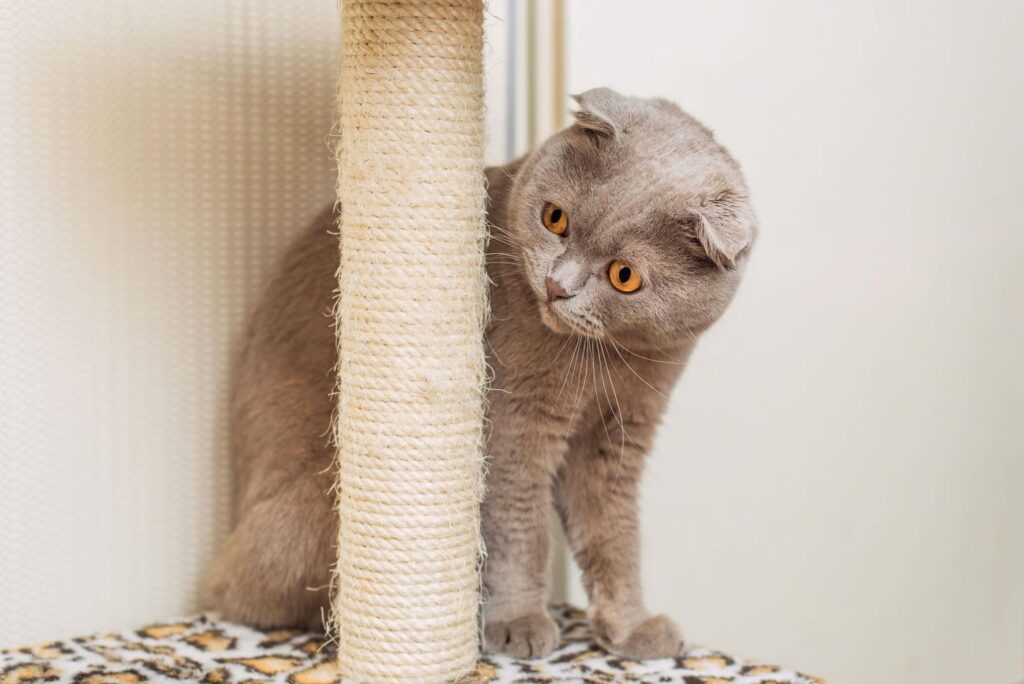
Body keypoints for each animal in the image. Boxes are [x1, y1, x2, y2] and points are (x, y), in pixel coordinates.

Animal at [203, 88, 757, 659]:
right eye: (554, 218)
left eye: (624, 276)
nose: (557, 286)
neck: (607, 363)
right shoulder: (514, 421)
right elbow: (521, 527)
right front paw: (520, 624)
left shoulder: (620, 433)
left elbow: (613, 535)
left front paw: (631, 628)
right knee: (252, 600)